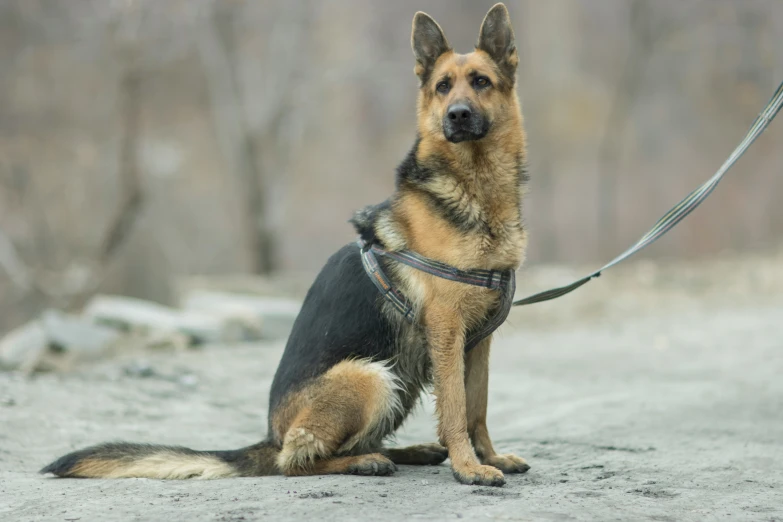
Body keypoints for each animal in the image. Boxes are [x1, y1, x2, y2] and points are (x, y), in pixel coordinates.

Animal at [44, 3, 532, 488]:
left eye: (481, 82)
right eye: (442, 87)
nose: (457, 115)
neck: (474, 189)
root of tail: (270, 435)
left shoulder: (478, 342)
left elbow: (477, 406)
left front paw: (488, 456)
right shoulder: (448, 333)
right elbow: (455, 408)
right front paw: (468, 467)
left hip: (394, 379)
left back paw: (405, 452)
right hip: (370, 375)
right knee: (295, 459)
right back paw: (364, 461)